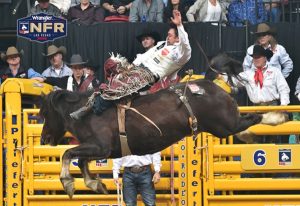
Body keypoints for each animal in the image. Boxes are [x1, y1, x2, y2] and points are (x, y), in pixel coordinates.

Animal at [39, 53, 286, 198]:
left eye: (44, 113)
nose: (44, 139)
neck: (86, 112)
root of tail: (208, 83)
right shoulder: (101, 150)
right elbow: (80, 160)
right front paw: (96, 184)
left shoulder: (100, 147)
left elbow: (69, 154)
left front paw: (68, 183)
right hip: (221, 126)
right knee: (245, 125)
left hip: (224, 125)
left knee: (251, 120)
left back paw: (277, 118)